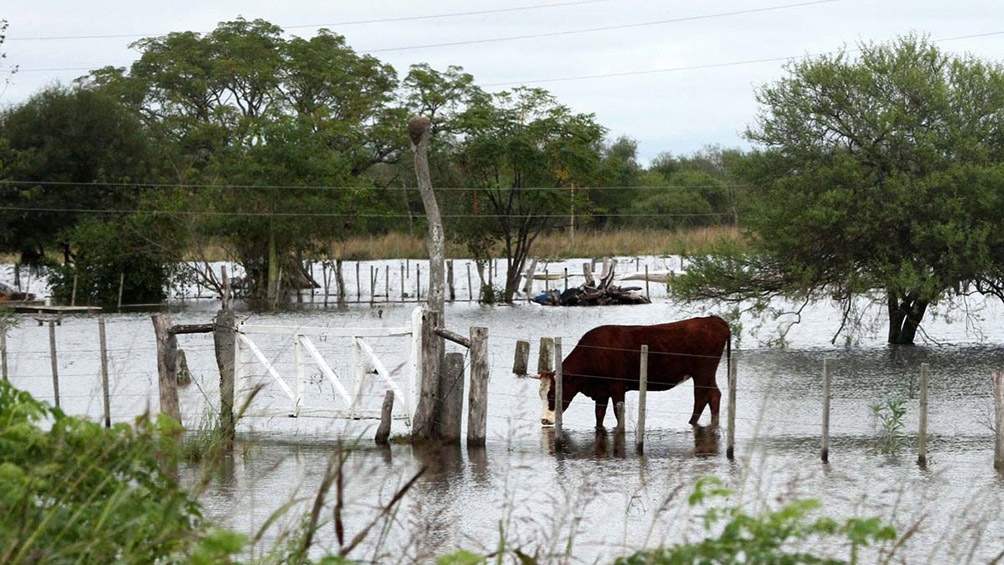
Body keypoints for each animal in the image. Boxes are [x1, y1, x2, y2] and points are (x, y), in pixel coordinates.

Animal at [538, 319, 734, 429]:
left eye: (552, 394)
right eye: (541, 395)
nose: (544, 420)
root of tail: (713, 319)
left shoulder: (617, 386)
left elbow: (618, 413)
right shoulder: (601, 391)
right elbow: (599, 415)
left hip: (703, 371)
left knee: (701, 396)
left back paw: (692, 423)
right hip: (706, 373)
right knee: (713, 395)